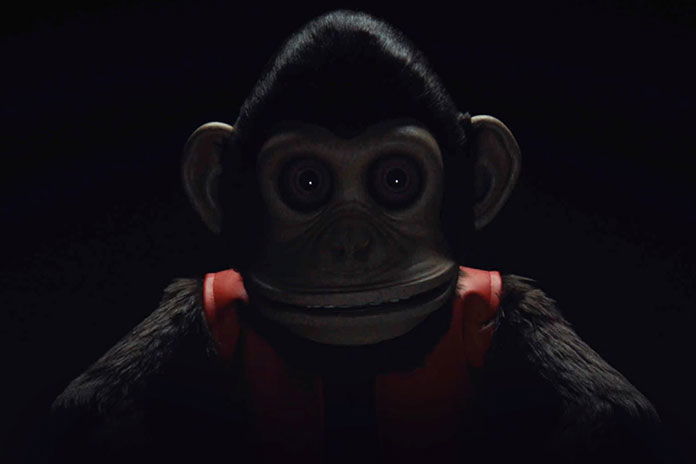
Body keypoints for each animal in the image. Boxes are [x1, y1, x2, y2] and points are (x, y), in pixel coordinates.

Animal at [41, 10, 665, 464]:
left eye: (396, 180)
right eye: (306, 182)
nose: (350, 246)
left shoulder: (503, 296)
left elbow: (614, 414)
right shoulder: (204, 300)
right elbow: (92, 408)